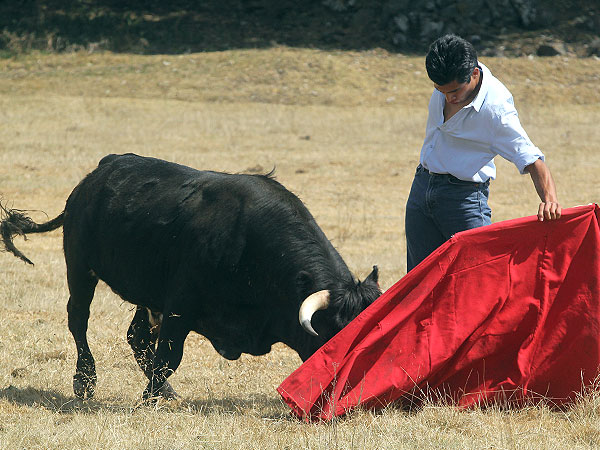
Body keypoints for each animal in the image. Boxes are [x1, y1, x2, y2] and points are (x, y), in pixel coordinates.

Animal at [1, 155, 380, 400]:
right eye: (338, 337)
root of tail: (97, 174)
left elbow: (159, 352)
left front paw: (157, 394)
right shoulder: (180, 305)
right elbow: (170, 355)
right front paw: (148, 399)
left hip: (147, 292)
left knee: (136, 336)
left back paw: (165, 391)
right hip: (80, 268)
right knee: (79, 319)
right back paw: (85, 381)